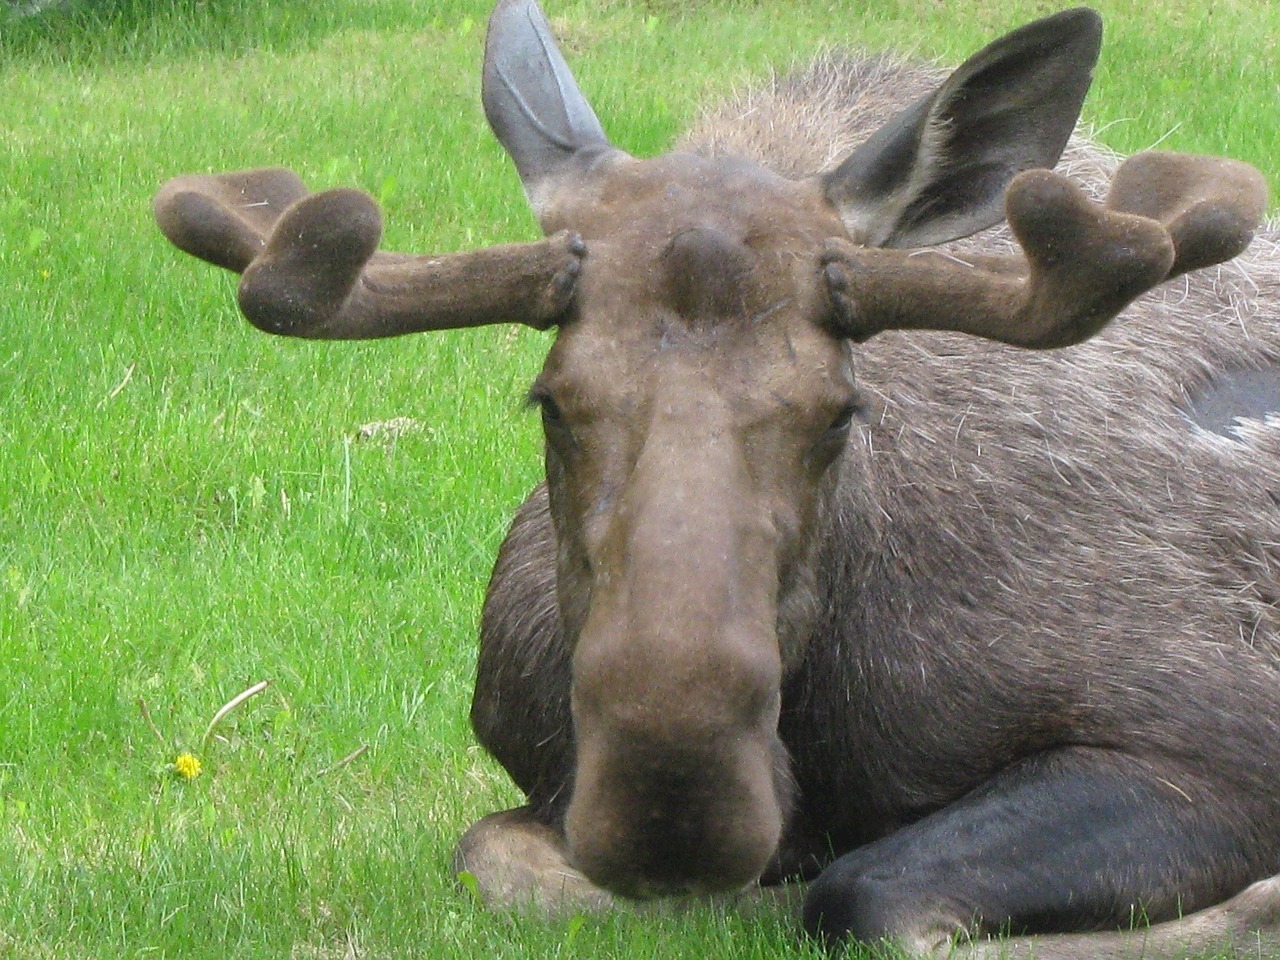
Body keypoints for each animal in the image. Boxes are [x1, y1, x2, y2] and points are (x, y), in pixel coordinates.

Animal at [154, 0, 1280, 957]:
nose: (672, 801)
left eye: (840, 410)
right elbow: (495, 858)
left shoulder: (1209, 741)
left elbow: (864, 895)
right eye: (550, 400)